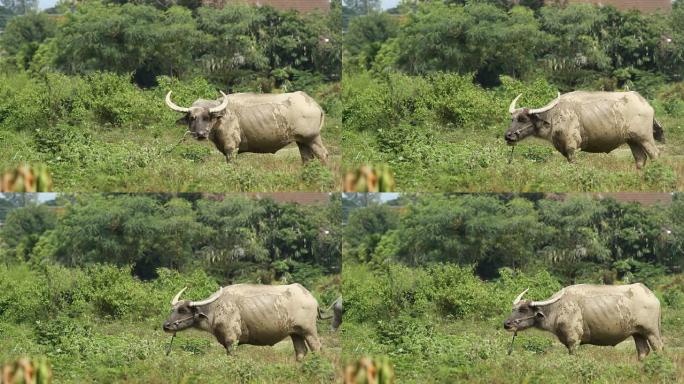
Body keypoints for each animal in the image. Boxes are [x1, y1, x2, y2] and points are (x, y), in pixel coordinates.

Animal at [164, 91, 328, 164]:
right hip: (302, 142)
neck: (221, 119)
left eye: (207, 117)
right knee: (307, 159)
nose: (200, 134)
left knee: (323, 154)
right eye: (192, 117)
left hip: (312, 138)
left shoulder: (231, 148)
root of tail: (315, 105)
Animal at [165, 284, 326, 362]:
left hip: (309, 331)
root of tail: (310, 297)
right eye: (173, 309)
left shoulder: (231, 340)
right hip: (295, 333)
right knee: (301, 352)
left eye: (183, 310)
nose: (166, 325)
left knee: (317, 348)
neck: (216, 308)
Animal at [502, 91, 664, 169]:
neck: (554, 116)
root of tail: (647, 105)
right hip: (632, 140)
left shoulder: (572, 146)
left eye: (523, 119)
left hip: (645, 138)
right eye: (512, 119)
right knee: (640, 159)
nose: (508, 136)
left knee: (655, 155)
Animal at [502, 284, 664, 358]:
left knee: (659, 348)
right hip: (638, 333)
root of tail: (652, 296)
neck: (557, 309)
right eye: (513, 308)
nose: (506, 324)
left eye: (523, 309)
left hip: (652, 332)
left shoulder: (573, 340)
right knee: (643, 351)